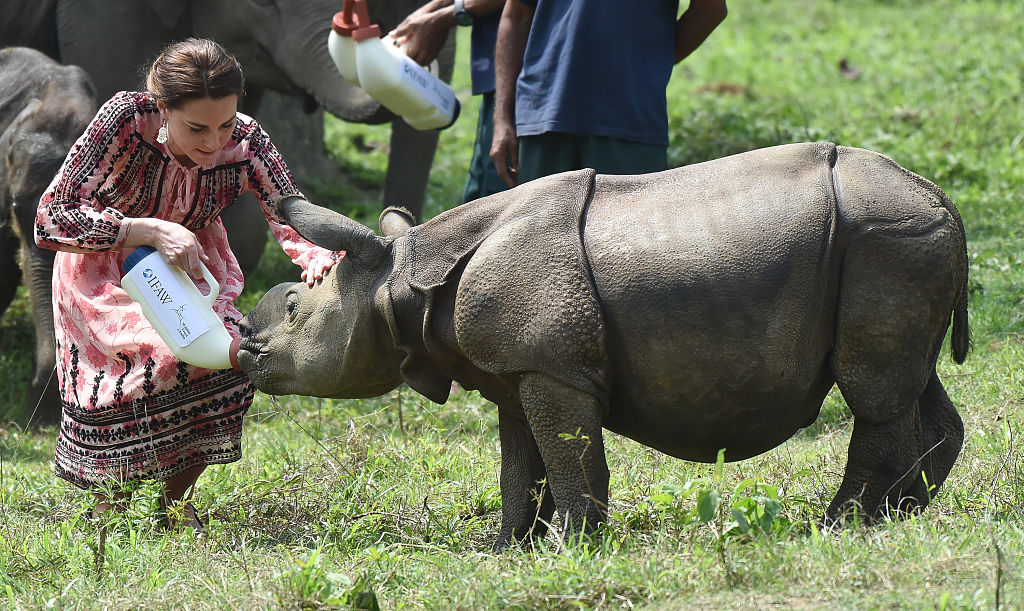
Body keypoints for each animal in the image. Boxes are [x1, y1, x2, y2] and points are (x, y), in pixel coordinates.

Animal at [237, 142, 966, 548]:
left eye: (295, 309)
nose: (247, 350)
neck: (401, 277)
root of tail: (940, 196)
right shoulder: (517, 368)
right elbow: (519, 466)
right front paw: (502, 548)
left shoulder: (553, 365)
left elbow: (567, 457)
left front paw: (569, 547)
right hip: (896, 241)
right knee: (908, 382)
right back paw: (904, 515)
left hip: (884, 238)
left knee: (873, 392)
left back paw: (839, 526)